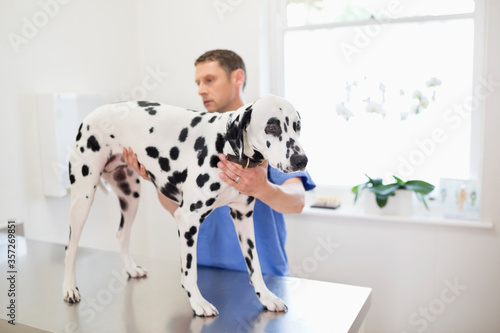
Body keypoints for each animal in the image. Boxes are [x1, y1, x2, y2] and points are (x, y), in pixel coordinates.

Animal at [60, 94, 306, 316]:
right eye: (271, 127)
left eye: (297, 126)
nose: (301, 160)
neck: (225, 147)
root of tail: (92, 115)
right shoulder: (188, 220)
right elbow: (190, 271)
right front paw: (198, 303)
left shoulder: (243, 217)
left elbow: (255, 266)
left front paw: (266, 298)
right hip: (83, 198)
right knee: (70, 247)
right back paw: (70, 288)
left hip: (130, 196)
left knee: (122, 235)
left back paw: (130, 269)